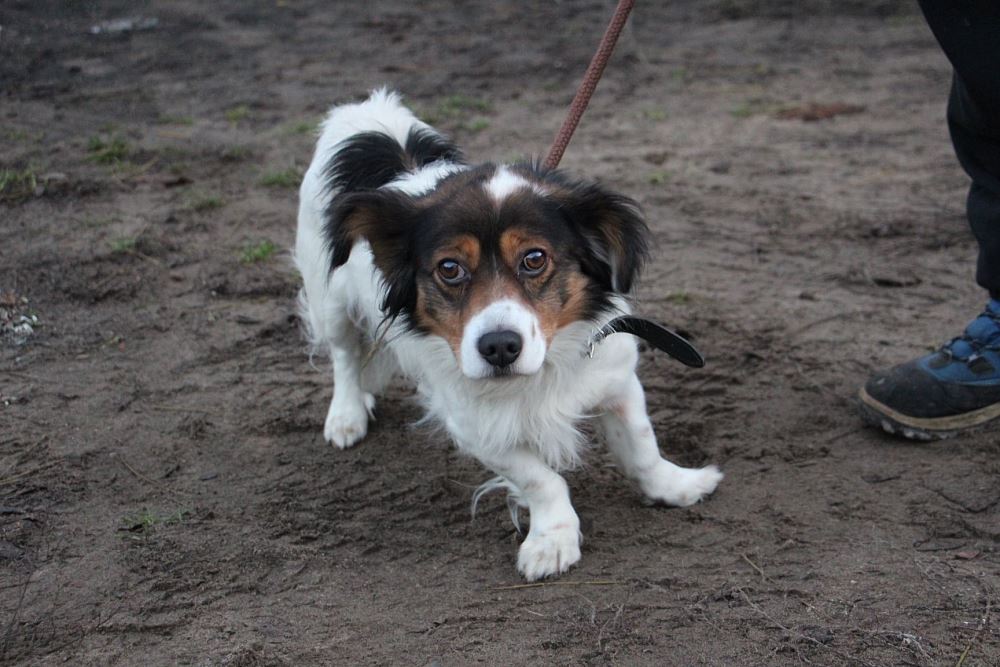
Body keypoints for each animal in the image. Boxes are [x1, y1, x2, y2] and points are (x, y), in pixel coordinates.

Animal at [294, 89, 723, 580]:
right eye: (449, 268)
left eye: (534, 259)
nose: (499, 347)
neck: (540, 372)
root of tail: (369, 114)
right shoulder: (476, 426)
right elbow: (542, 480)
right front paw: (552, 539)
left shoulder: (616, 381)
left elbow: (641, 447)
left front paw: (677, 486)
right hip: (330, 303)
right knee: (345, 357)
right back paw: (346, 415)